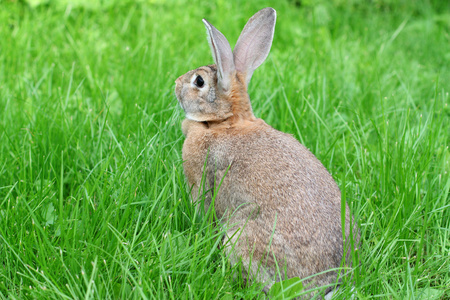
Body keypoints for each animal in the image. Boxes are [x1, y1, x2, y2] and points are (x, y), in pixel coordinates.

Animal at [174, 6, 360, 298]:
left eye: (199, 81)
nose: (175, 83)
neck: (224, 122)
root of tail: (325, 285)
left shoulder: (201, 180)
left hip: (242, 237)